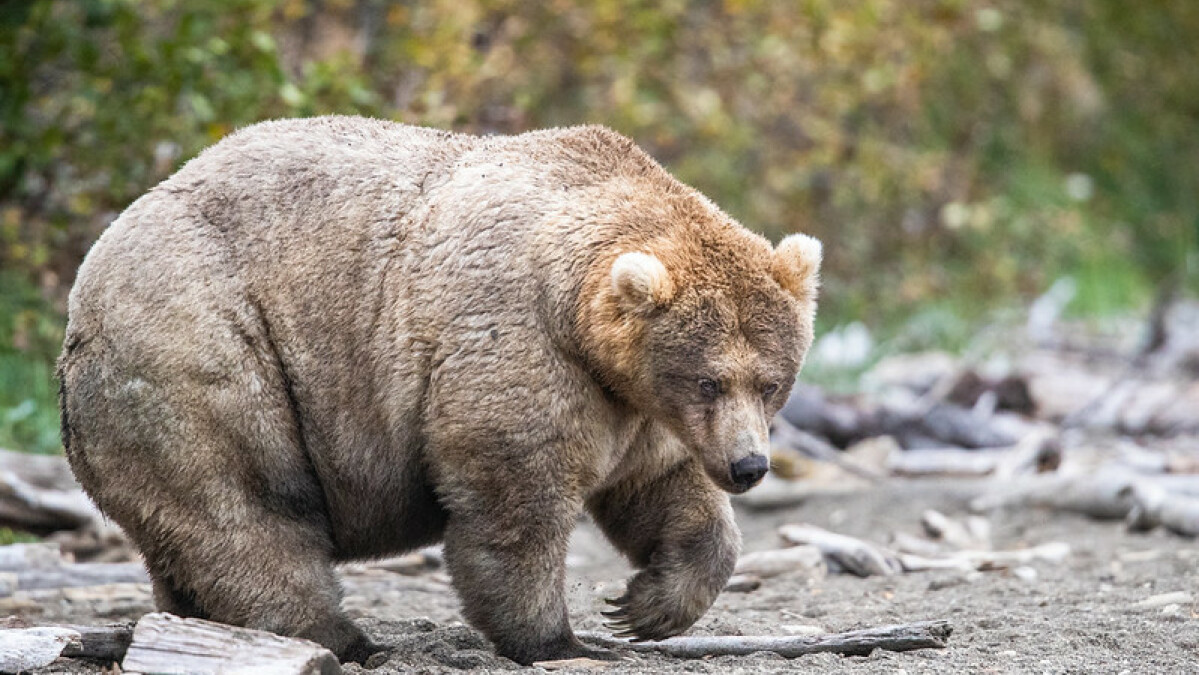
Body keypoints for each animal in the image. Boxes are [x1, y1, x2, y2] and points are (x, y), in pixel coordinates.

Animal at [58, 117, 824, 666]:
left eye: (771, 381)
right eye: (709, 378)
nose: (749, 466)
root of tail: (88, 279)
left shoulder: (635, 405)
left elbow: (661, 488)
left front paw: (645, 605)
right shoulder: (517, 343)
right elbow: (515, 497)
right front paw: (559, 639)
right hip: (205, 346)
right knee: (246, 504)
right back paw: (340, 638)